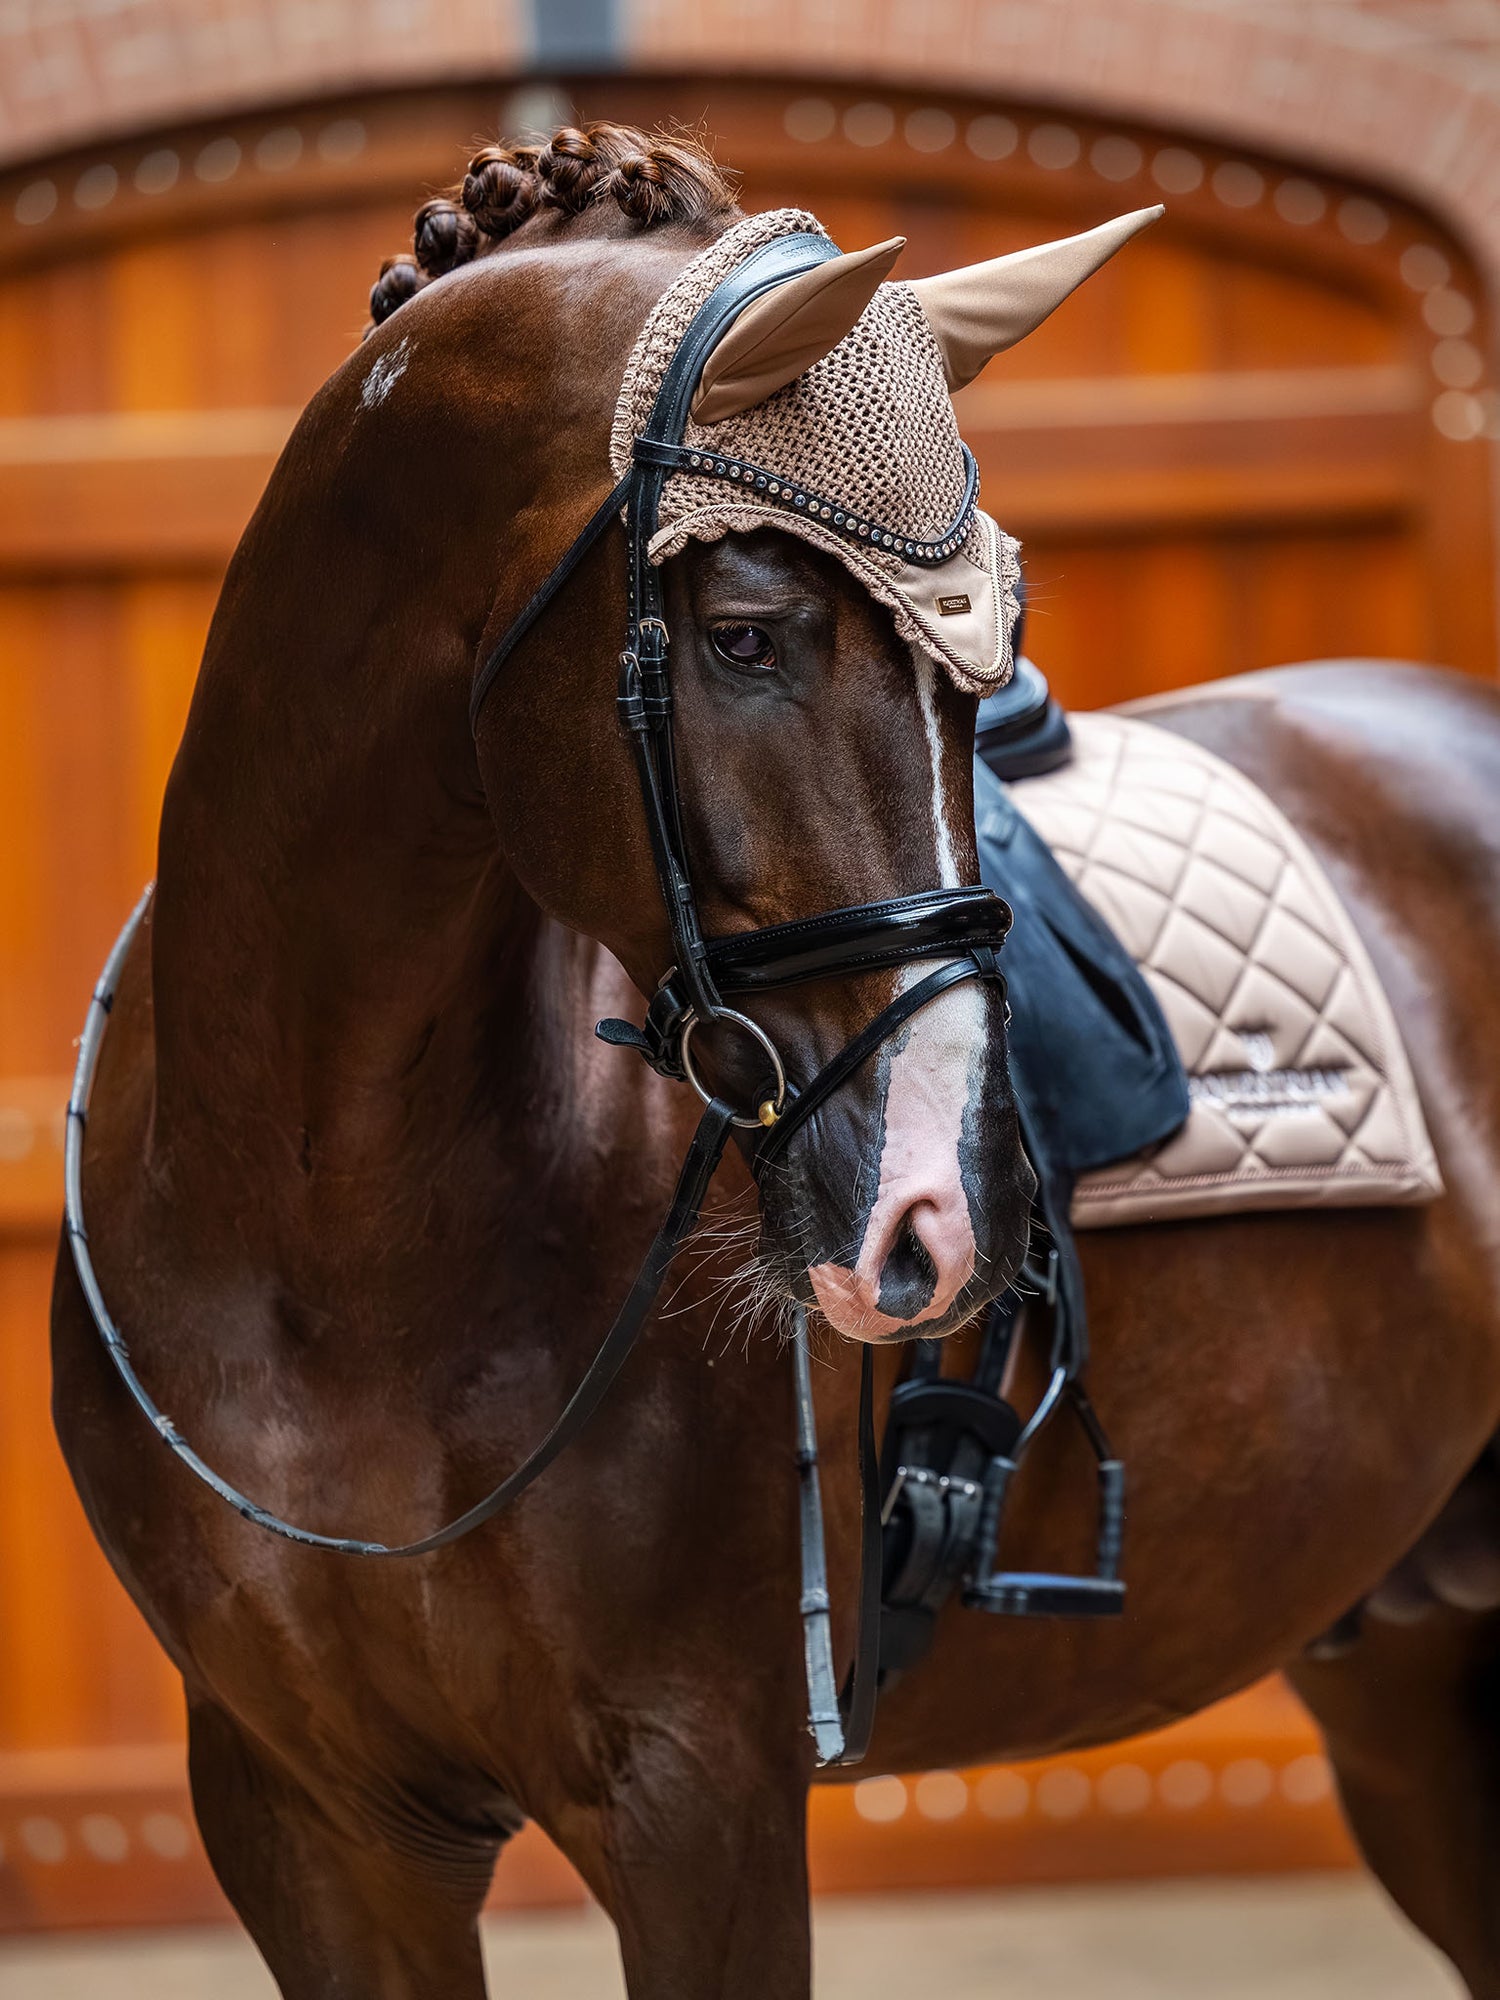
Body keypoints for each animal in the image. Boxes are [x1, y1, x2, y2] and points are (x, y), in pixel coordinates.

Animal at [50, 121, 1500, 1998]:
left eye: (989, 647)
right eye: (743, 631)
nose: (946, 1213)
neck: (324, 1224)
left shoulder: (702, 1801)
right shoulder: (311, 1823)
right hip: (1407, 1674)